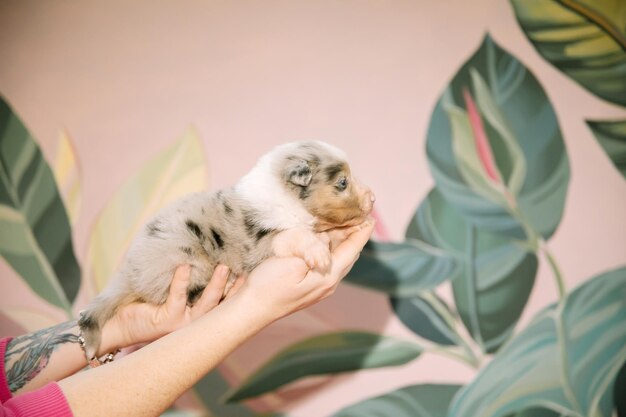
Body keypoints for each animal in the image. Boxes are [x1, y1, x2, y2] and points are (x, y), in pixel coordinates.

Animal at [76, 139, 372, 358]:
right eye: (342, 182)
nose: (373, 199)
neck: (285, 197)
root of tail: (129, 275)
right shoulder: (260, 241)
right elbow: (294, 235)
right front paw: (318, 252)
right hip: (186, 258)